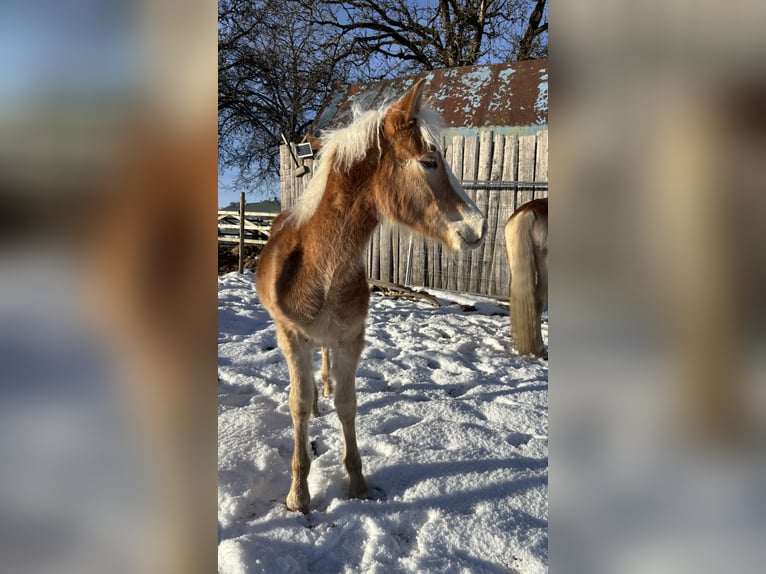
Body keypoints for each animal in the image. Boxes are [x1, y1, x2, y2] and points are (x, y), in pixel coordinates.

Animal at [256, 80, 486, 512]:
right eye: (429, 161)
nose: (479, 226)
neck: (321, 267)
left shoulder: (351, 337)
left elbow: (347, 404)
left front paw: (358, 484)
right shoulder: (291, 336)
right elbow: (298, 404)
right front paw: (298, 495)